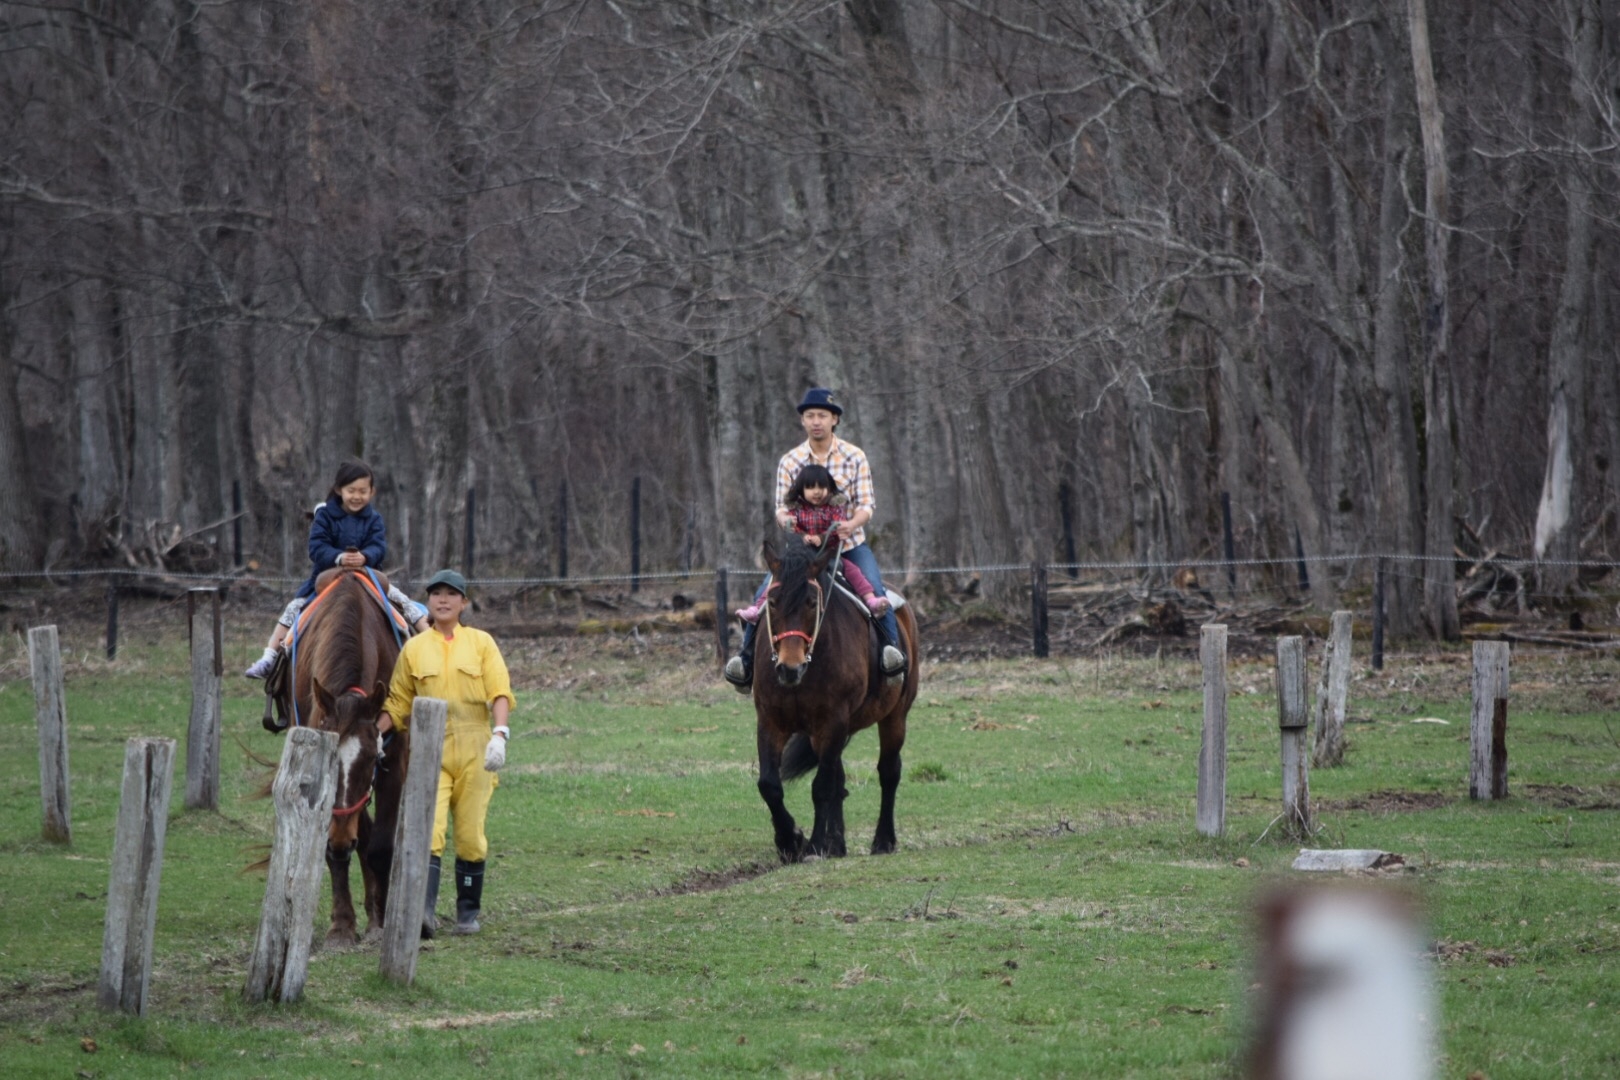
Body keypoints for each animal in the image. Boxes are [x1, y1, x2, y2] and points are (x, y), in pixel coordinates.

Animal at [275, 569, 408, 939]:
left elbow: (381, 846)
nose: (340, 841)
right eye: (325, 763)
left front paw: (381, 922)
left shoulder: (395, 763)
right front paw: (342, 925)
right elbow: (336, 846)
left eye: (373, 759)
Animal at [751, 531, 920, 861]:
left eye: (811, 602)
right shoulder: (770, 721)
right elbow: (769, 785)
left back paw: (883, 840)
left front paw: (814, 844)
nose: (789, 668)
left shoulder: (832, 721)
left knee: (888, 772)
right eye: (772, 602)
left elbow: (822, 787)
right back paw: (837, 845)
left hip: (895, 716)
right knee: (839, 779)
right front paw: (790, 841)